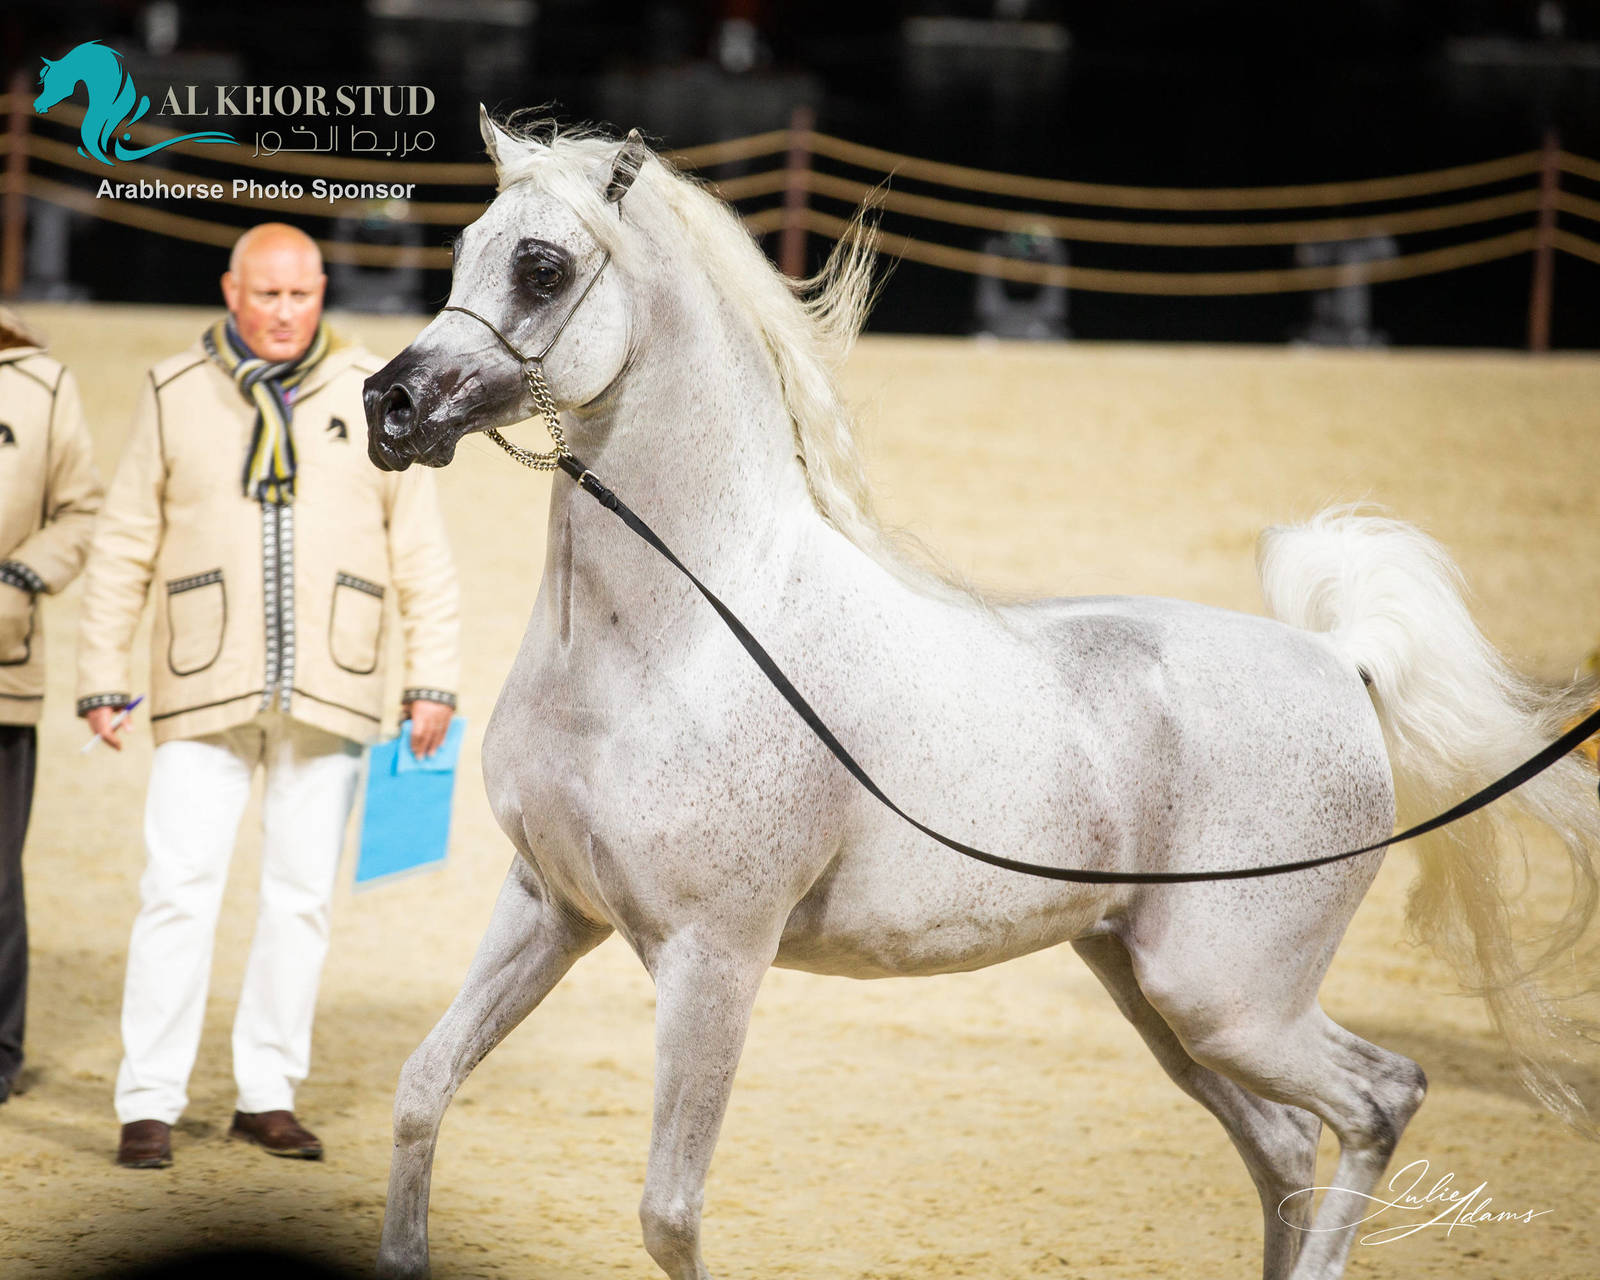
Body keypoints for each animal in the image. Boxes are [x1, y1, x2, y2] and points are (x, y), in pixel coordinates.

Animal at [361, 110, 1600, 1280]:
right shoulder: (549, 905)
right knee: (1285, 1143)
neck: (680, 638)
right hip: (1155, 995)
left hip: (1230, 1000)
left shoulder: (712, 956)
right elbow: (420, 1087)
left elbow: (669, 1213)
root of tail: (1339, 664)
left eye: (542, 267)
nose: (391, 403)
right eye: (461, 247)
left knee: (1380, 1097)